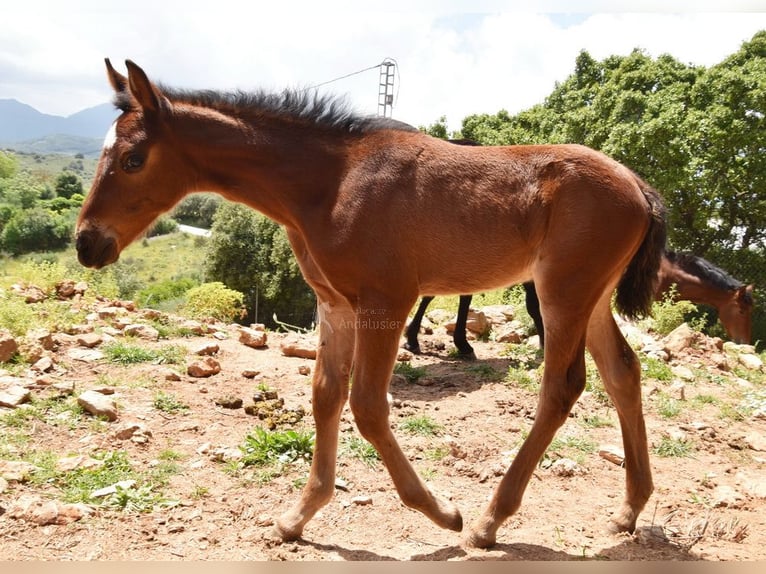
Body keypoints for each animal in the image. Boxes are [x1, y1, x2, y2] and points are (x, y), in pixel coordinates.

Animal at [76, 59, 667, 548]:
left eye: (133, 159)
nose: (86, 242)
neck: (330, 184)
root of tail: (639, 185)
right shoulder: (335, 304)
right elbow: (325, 395)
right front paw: (298, 515)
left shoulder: (387, 301)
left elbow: (366, 406)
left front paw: (440, 511)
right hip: (592, 296)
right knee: (623, 371)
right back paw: (628, 511)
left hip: (563, 293)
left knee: (562, 388)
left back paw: (488, 521)